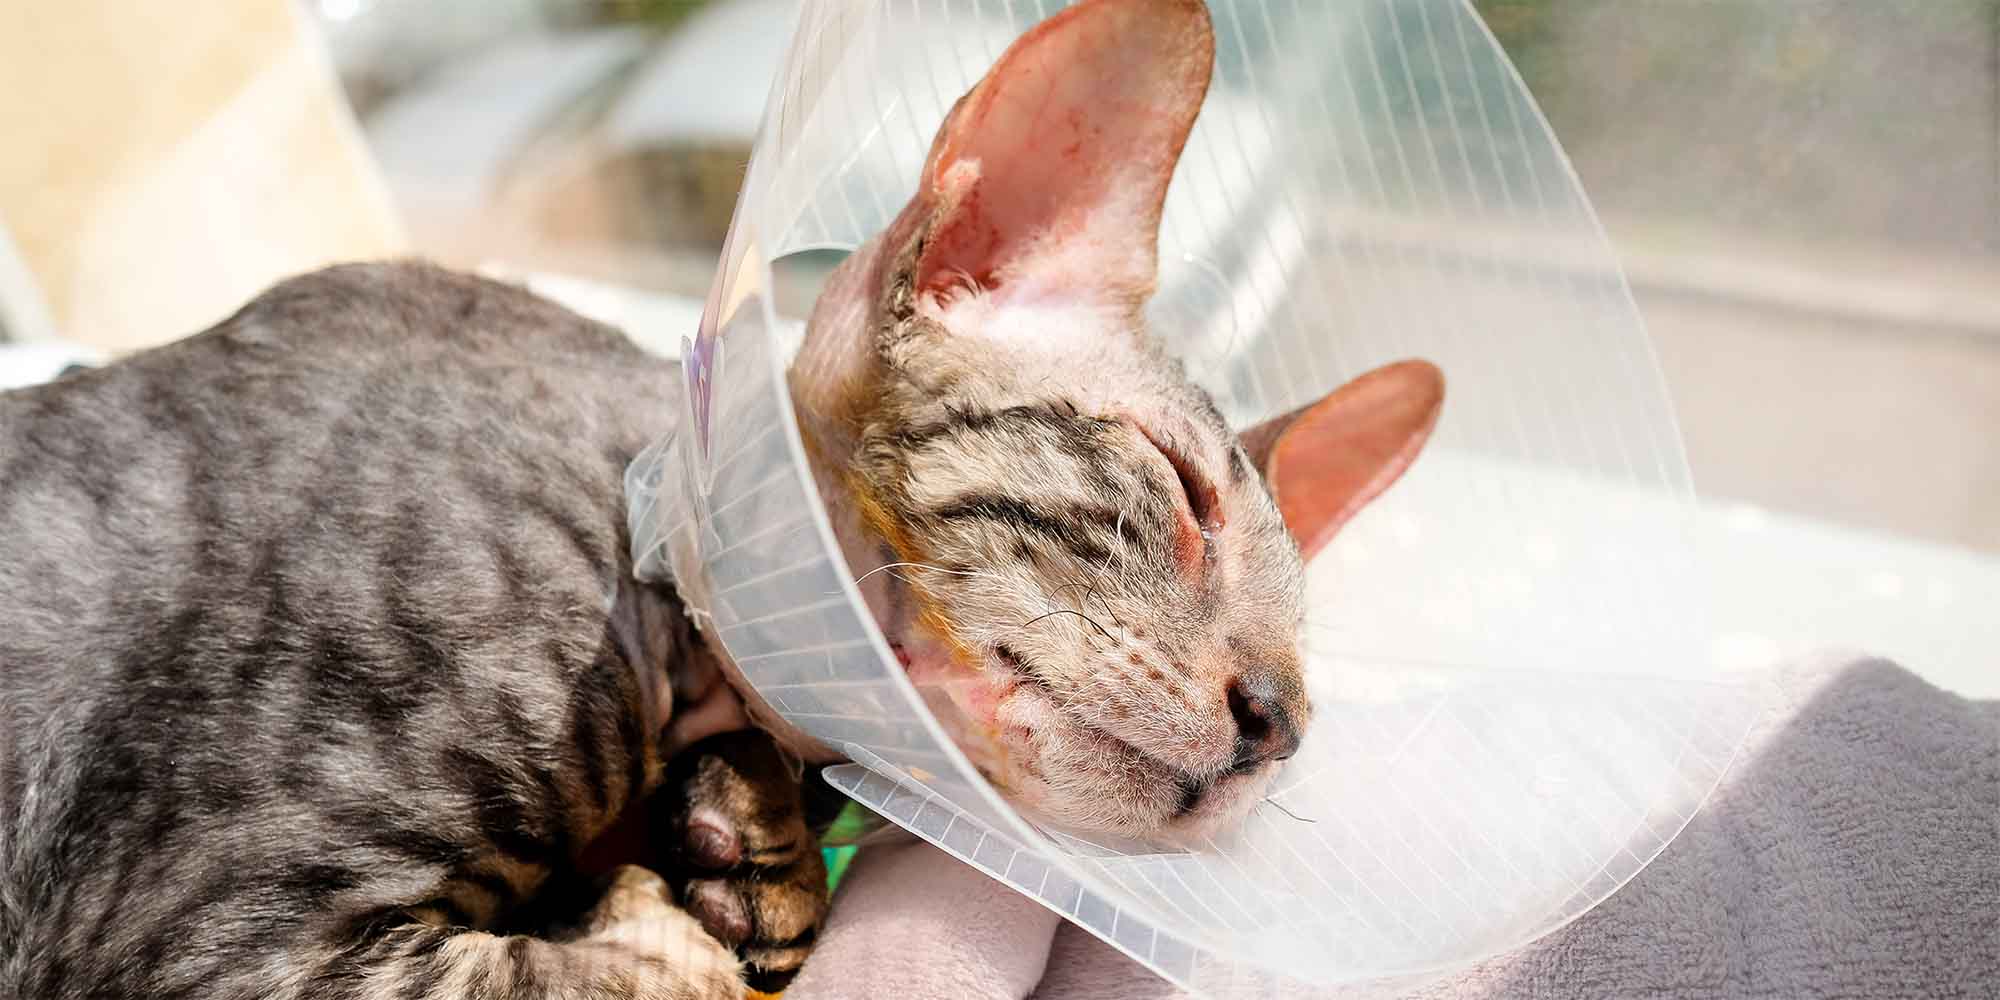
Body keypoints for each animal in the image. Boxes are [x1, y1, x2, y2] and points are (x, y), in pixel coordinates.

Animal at [0, 1, 1440, 1000]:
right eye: (1178, 484)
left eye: (1304, 640)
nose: (1283, 720)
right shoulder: (217, 936)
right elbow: (632, 976)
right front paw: (680, 892)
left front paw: (756, 847)